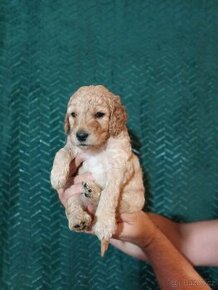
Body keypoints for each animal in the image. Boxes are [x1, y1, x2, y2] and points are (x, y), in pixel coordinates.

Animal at [50, 85, 145, 255]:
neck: (97, 148)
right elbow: (61, 152)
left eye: (99, 114)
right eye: (73, 114)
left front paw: (104, 224)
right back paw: (78, 219)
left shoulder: (120, 165)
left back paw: (94, 194)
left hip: (134, 201)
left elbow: (108, 194)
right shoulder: (73, 146)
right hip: (76, 192)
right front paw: (57, 176)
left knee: (109, 204)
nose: (80, 135)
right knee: (73, 203)